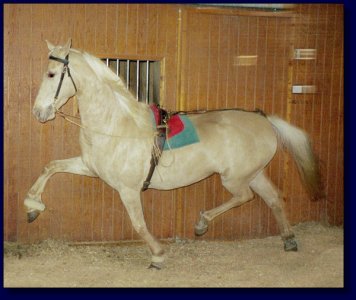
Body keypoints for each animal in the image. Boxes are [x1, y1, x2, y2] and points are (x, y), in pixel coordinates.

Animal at [25, 39, 322, 270]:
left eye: (51, 74)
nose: (39, 113)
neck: (116, 124)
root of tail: (264, 120)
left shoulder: (128, 189)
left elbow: (138, 224)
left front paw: (157, 256)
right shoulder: (90, 167)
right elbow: (50, 167)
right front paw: (32, 207)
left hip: (235, 178)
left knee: (244, 197)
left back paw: (202, 223)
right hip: (254, 173)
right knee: (273, 198)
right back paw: (288, 239)